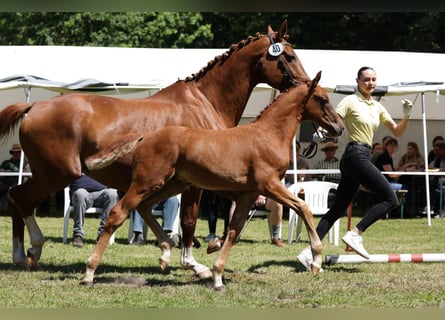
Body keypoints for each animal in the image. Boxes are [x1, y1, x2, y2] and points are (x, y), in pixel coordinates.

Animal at [0, 20, 310, 276]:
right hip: (58, 174)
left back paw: (24, 254)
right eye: (290, 56)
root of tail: (35, 106)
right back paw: (30, 251)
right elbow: (189, 221)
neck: (205, 101)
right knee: (20, 199)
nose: (307, 86)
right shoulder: (198, 183)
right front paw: (193, 263)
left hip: (46, 173)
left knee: (17, 197)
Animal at [81, 72, 342, 290]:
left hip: (172, 184)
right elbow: (303, 207)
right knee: (118, 213)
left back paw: (165, 253)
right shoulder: (269, 186)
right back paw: (89, 273)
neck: (267, 135)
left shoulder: (248, 194)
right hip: (147, 183)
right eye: (322, 99)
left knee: (144, 208)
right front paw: (316, 261)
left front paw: (217, 276)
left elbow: (234, 231)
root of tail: (145, 136)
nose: (338, 126)